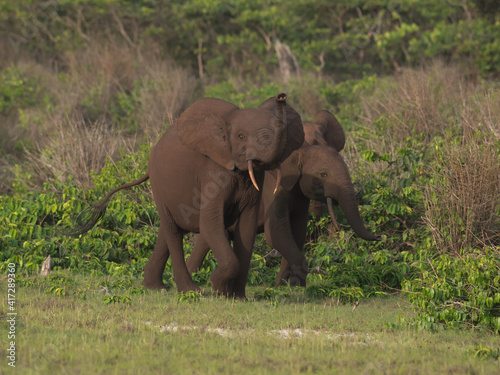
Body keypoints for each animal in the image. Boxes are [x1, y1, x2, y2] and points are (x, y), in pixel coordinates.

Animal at [68, 94, 302, 300]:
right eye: (241, 136)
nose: (281, 96)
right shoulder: (212, 171)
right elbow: (210, 223)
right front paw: (217, 286)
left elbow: (246, 228)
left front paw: (237, 297)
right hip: (158, 182)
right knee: (173, 231)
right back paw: (190, 291)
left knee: (166, 228)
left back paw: (154, 287)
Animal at [186, 110, 380, 286]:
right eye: (323, 174)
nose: (379, 237)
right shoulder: (273, 187)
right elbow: (277, 231)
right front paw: (290, 286)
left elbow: (297, 232)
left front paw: (286, 286)